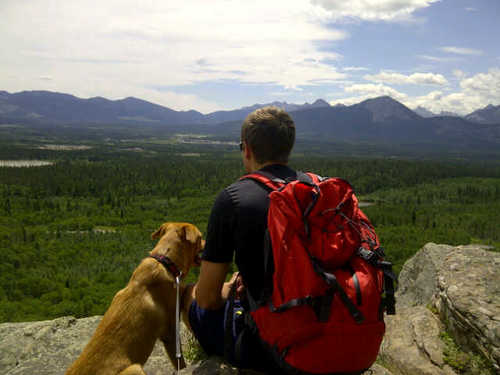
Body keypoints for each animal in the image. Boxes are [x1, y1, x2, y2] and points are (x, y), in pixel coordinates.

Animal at [65, 223, 204, 375]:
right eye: (200, 238)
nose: (206, 241)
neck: (165, 261)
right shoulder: (170, 331)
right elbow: (180, 362)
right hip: (135, 368)